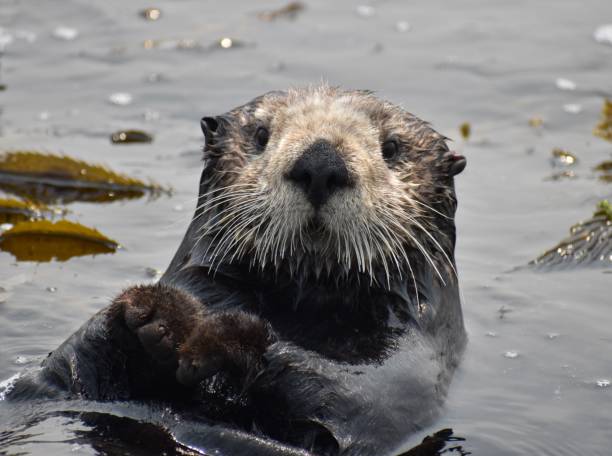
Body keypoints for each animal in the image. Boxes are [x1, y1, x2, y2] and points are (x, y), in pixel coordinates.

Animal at [4, 86, 466, 456]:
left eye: (392, 147)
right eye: (261, 135)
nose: (321, 163)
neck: (301, 302)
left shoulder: (408, 374)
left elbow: (353, 405)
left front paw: (223, 337)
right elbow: (64, 372)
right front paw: (152, 314)